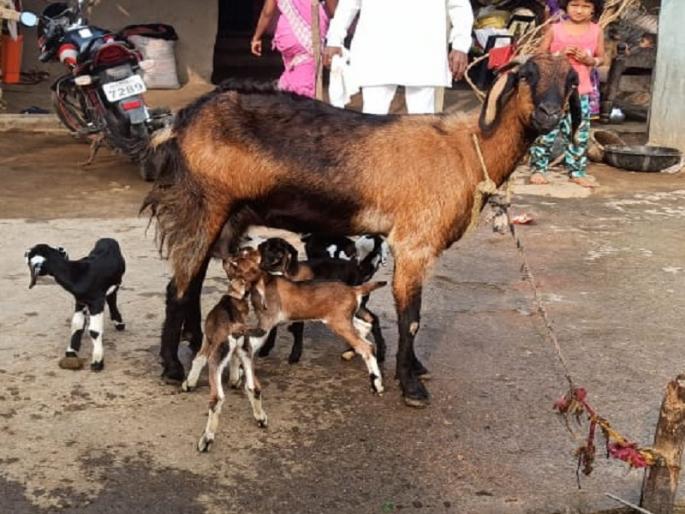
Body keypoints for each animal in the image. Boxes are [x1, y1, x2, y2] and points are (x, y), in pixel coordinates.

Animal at [25, 238, 126, 371]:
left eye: (30, 255)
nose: (24, 253)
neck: (78, 274)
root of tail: (107, 239)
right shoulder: (80, 300)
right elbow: (76, 324)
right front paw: (71, 352)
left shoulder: (97, 302)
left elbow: (94, 330)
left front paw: (97, 362)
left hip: (116, 284)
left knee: (112, 298)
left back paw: (119, 323)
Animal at [256, 237, 386, 363]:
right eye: (266, 249)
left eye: (279, 251)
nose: (263, 265)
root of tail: (359, 270)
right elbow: (273, 329)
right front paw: (265, 350)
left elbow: (298, 331)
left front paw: (295, 355)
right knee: (372, 319)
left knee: (369, 321)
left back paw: (375, 353)